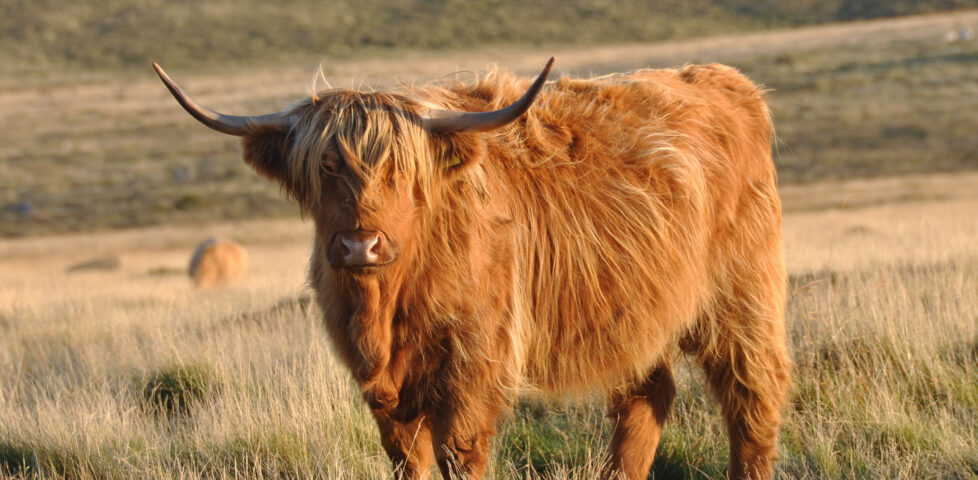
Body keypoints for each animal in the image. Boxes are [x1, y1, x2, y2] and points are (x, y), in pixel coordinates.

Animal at [154, 58, 791, 480]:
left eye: (401, 172)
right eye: (327, 167)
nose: (361, 245)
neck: (386, 308)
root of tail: (723, 79)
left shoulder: (475, 360)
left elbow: (460, 453)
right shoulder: (382, 388)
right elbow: (408, 460)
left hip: (742, 296)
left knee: (752, 397)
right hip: (637, 312)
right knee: (645, 399)